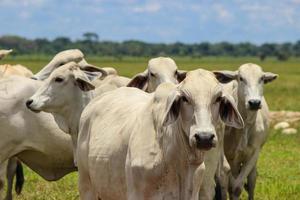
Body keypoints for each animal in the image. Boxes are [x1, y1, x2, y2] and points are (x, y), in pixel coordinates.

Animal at [214, 63, 278, 200]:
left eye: (262, 78)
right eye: (241, 78)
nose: (254, 103)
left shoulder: (254, 154)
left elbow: (237, 188)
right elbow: (223, 179)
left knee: (252, 180)